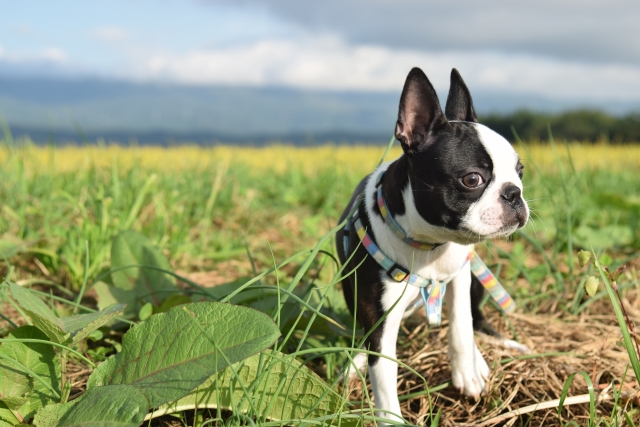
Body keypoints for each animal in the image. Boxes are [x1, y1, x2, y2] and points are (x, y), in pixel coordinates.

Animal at [338, 67, 528, 424]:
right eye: (472, 179)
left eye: (520, 172)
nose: (514, 192)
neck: (430, 245)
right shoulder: (379, 316)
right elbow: (382, 371)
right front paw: (391, 418)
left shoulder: (461, 274)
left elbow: (461, 326)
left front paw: (467, 372)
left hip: (476, 282)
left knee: (476, 320)